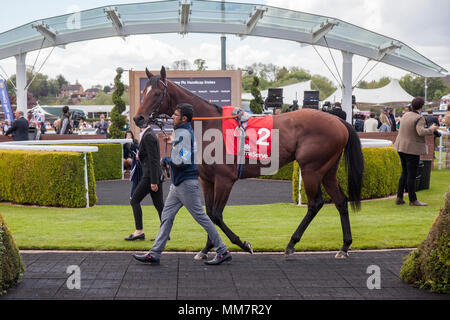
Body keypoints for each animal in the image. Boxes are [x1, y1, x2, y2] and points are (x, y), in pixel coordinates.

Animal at [134, 66, 366, 258]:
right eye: (143, 92)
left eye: (156, 93)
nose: (138, 118)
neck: (209, 126)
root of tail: (338, 120)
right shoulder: (207, 180)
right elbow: (208, 215)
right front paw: (207, 249)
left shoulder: (225, 179)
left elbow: (216, 215)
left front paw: (243, 244)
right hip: (328, 170)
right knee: (340, 201)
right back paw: (344, 246)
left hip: (311, 169)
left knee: (315, 203)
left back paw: (291, 244)